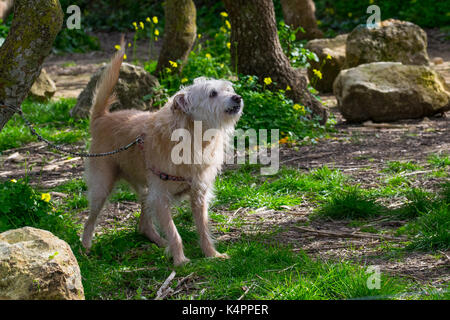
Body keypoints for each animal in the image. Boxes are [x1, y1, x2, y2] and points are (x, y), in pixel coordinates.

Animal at [81, 48, 243, 266]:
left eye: (228, 89)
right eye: (212, 93)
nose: (237, 97)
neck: (193, 137)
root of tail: (103, 117)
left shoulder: (198, 194)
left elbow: (203, 228)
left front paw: (211, 254)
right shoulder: (160, 197)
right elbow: (175, 232)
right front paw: (180, 261)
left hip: (144, 190)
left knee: (143, 224)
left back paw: (159, 241)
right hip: (102, 187)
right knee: (90, 220)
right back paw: (85, 246)